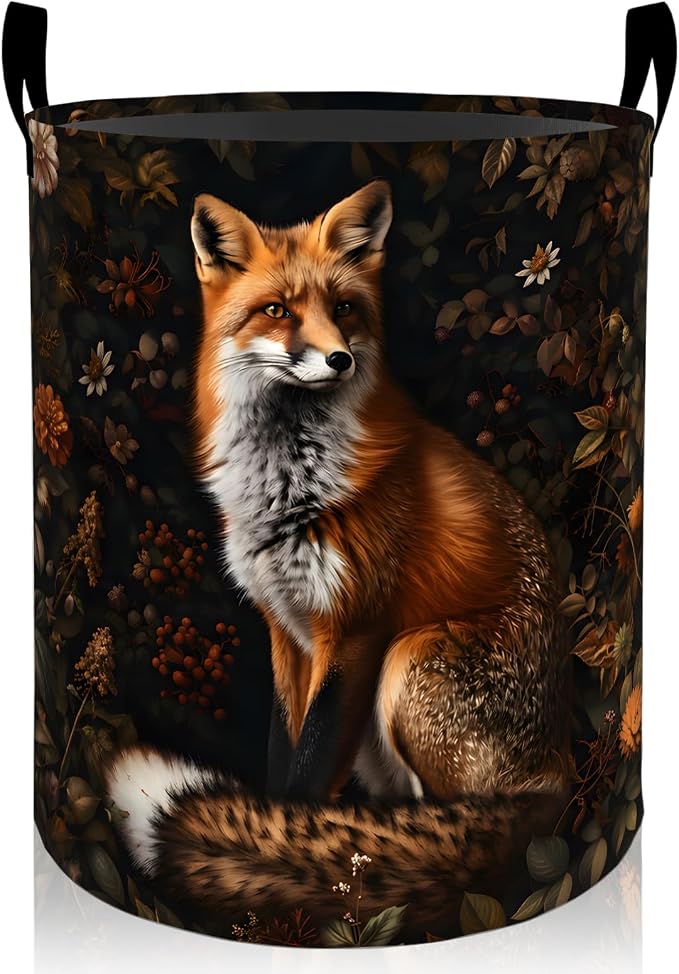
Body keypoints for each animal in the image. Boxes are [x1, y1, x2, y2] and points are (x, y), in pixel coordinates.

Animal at [106, 179, 572, 933]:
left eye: (344, 309)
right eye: (277, 310)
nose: (339, 360)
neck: (290, 489)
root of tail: (559, 769)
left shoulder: (356, 632)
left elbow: (308, 774)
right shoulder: (286, 630)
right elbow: (282, 761)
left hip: (408, 664)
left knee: (451, 825)